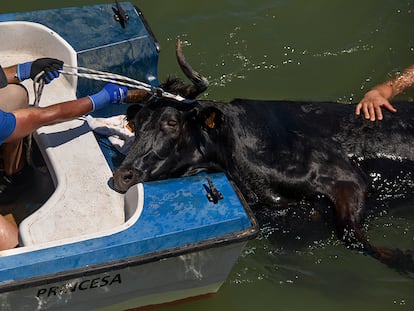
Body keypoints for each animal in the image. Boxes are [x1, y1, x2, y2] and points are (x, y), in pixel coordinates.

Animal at [113, 98, 414, 276]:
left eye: (172, 122)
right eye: (136, 124)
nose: (122, 175)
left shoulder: (348, 180)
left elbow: (350, 234)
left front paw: (402, 259)